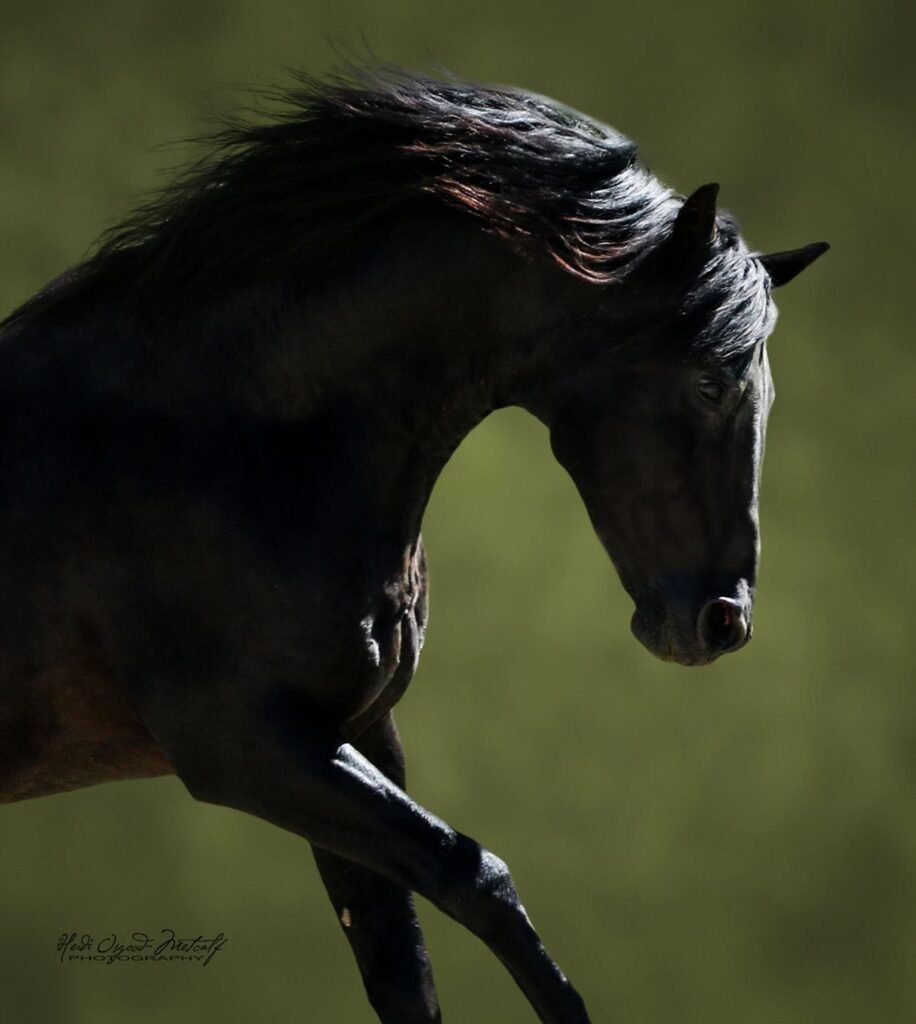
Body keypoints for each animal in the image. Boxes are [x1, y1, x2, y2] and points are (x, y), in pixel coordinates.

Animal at [0, 66, 826, 1023]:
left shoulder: (349, 736)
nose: (723, 621)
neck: (229, 445)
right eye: (710, 381)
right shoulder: (248, 750)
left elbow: (404, 968)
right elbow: (476, 877)